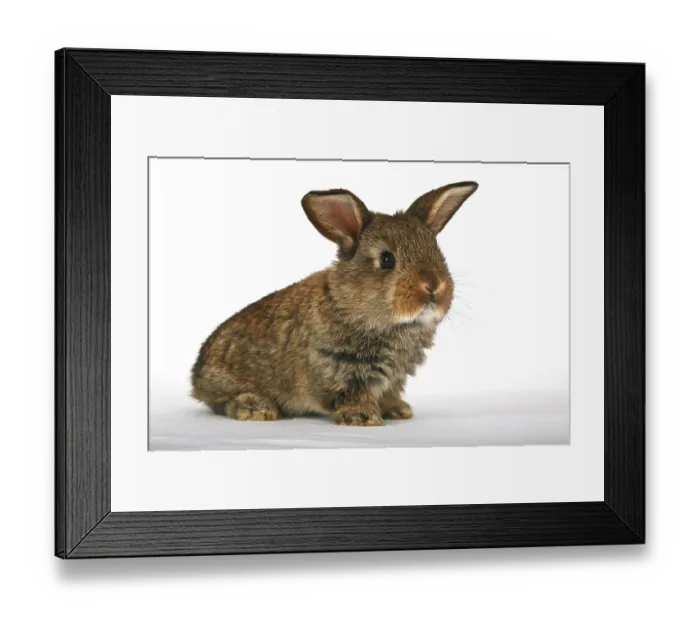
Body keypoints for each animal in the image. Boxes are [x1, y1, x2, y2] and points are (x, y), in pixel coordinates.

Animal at [191, 181, 478, 426]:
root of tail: (196, 376)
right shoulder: (341, 369)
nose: (434, 286)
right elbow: (350, 395)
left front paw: (397, 409)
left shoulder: (394, 377)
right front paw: (363, 417)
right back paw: (257, 408)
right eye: (387, 259)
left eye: (437, 252)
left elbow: (387, 393)